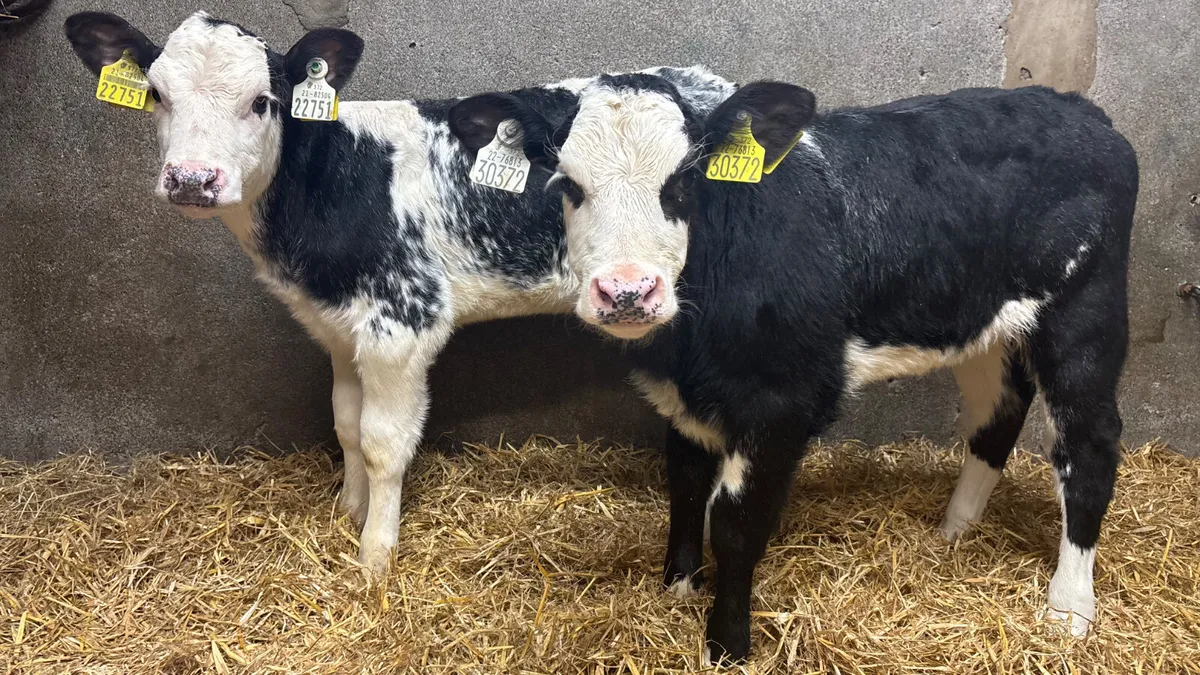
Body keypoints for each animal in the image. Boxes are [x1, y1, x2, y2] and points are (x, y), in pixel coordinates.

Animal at [64, 11, 736, 573]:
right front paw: (349, 510)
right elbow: (345, 423)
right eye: (157, 94)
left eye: (262, 101)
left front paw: (374, 556)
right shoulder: (338, 327)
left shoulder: (403, 322)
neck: (337, 180)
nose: (192, 179)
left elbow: (383, 442)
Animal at [449, 76, 1138, 662]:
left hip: (1086, 313)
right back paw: (952, 533)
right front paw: (678, 588)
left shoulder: (782, 400)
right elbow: (685, 485)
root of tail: (1079, 109)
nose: (627, 291)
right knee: (998, 414)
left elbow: (735, 521)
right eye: (568, 184)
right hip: (985, 327)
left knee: (1088, 446)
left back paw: (1069, 608)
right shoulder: (687, 399)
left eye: (684, 181)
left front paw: (725, 644)